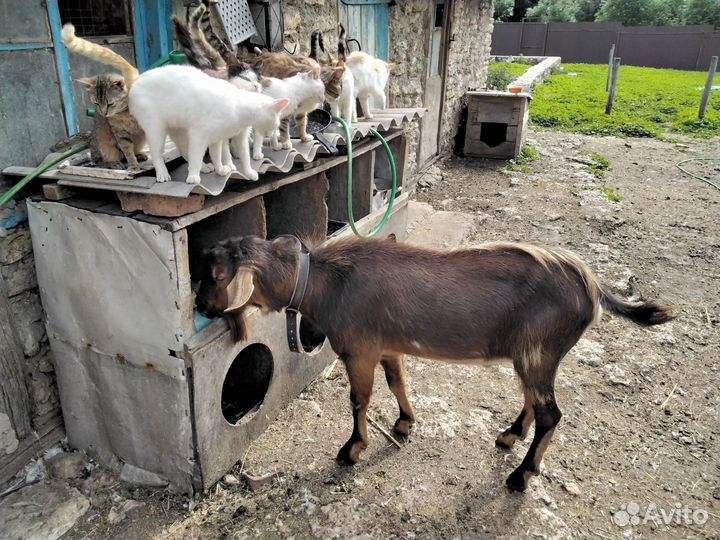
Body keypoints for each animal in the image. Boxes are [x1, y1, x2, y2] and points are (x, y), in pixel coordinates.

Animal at [195, 235, 674, 492]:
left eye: (215, 276)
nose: (200, 304)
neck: (327, 282)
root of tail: (593, 288)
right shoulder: (388, 346)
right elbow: (398, 383)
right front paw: (406, 423)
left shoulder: (359, 349)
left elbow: (358, 399)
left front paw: (352, 449)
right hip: (533, 353)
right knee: (535, 403)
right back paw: (509, 435)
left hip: (539, 350)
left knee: (551, 413)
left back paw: (521, 474)